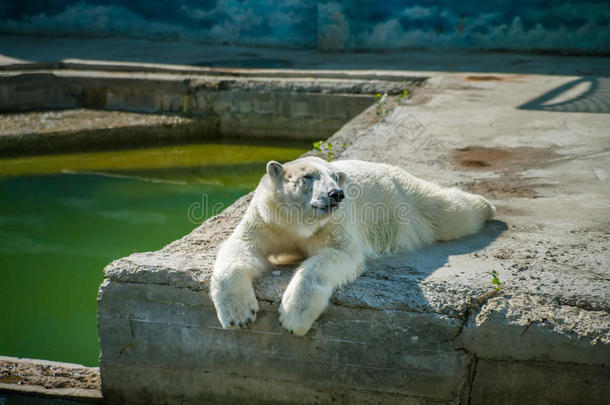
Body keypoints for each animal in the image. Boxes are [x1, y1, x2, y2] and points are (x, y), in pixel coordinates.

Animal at [209, 157, 494, 334]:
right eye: (308, 176)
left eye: (335, 177)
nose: (336, 194)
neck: (297, 223)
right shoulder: (267, 218)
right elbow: (243, 247)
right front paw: (238, 315)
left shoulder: (334, 223)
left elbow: (338, 255)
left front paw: (292, 318)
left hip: (405, 201)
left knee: (449, 211)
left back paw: (487, 206)